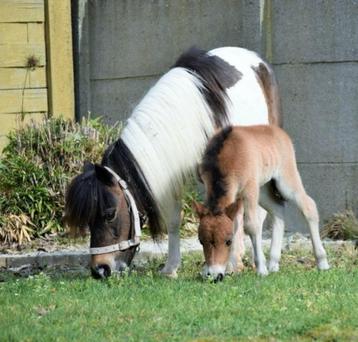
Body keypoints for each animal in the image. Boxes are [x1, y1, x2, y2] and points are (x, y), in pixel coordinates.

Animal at [65, 46, 282, 280]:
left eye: (109, 214)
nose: (99, 270)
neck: (191, 121)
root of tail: (254, 58)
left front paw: (221, 265)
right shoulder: (174, 176)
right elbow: (174, 220)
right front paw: (171, 268)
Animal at [196, 125, 330, 280]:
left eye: (228, 241)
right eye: (201, 241)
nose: (214, 275)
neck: (226, 156)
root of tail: (278, 131)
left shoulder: (250, 190)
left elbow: (251, 226)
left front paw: (261, 269)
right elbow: (235, 226)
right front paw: (227, 268)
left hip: (286, 180)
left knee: (308, 206)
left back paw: (322, 262)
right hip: (264, 189)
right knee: (278, 209)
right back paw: (273, 264)